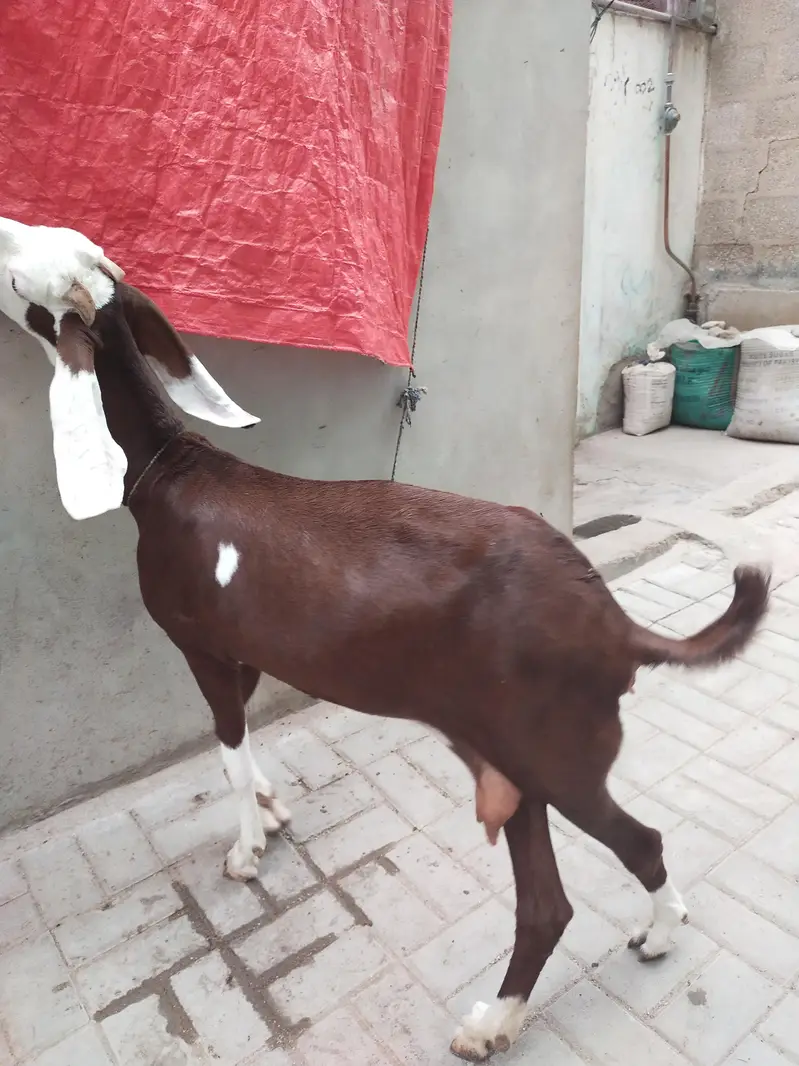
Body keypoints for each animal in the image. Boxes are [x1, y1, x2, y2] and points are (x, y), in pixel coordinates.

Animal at [0, 218, 770, 1062]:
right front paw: (271, 807)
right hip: (514, 758)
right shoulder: (246, 653)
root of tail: (612, 620)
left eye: (19, 276)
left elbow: (227, 753)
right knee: (552, 900)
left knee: (634, 846)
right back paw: (509, 1013)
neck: (169, 474)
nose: (5, 230)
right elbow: (246, 747)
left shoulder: (199, 645)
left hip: (558, 750)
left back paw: (628, 951)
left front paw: (246, 851)